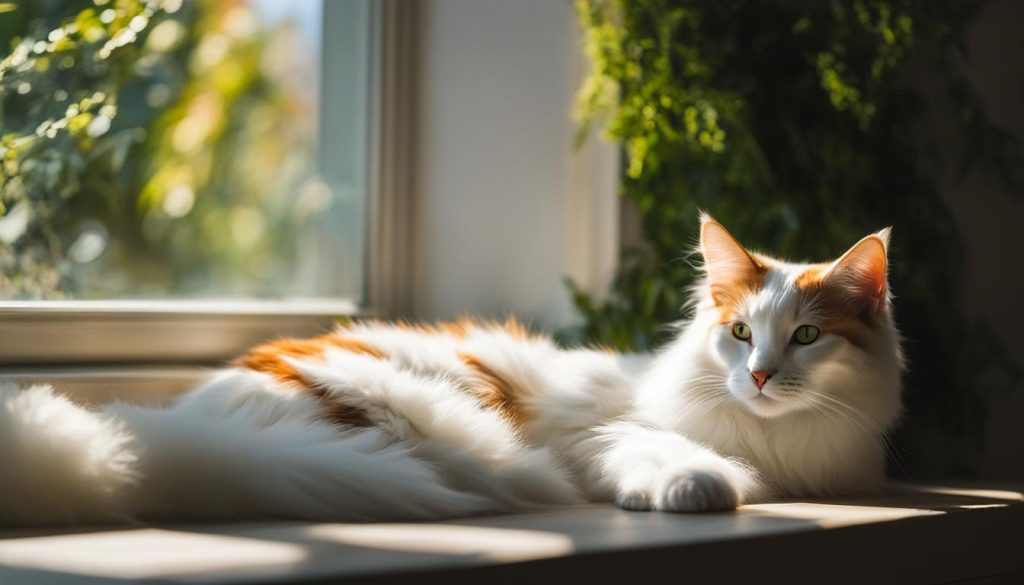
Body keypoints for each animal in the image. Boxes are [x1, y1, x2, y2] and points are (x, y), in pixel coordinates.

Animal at [0, 215, 905, 524]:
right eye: (740, 331)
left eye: (807, 336)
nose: (759, 375)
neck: (772, 443)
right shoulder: (607, 431)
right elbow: (671, 457)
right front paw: (700, 486)